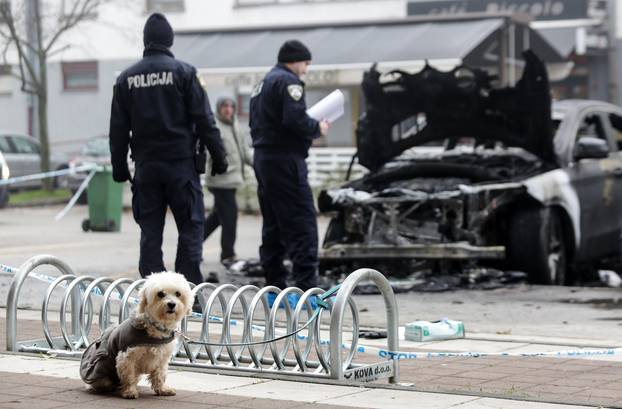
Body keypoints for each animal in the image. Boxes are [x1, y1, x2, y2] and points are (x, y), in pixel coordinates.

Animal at [80, 270, 194, 398]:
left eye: (178, 294)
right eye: (160, 294)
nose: (171, 304)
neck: (154, 327)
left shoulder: (162, 358)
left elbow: (160, 374)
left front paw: (162, 389)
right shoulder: (127, 357)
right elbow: (129, 376)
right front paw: (130, 391)